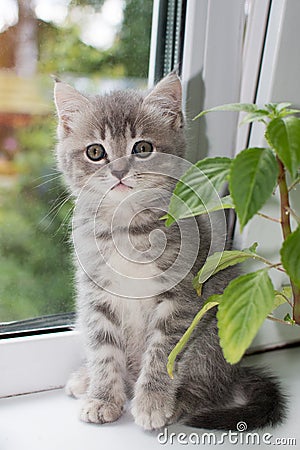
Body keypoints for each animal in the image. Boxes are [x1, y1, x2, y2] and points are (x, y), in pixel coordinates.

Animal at [54, 74, 286, 432]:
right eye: (95, 152)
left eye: (142, 148)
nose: (119, 172)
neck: (128, 227)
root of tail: (233, 372)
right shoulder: (96, 295)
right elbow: (103, 348)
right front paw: (103, 397)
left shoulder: (184, 295)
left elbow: (164, 350)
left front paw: (152, 402)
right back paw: (87, 379)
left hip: (212, 335)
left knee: (205, 387)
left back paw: (179, 403)